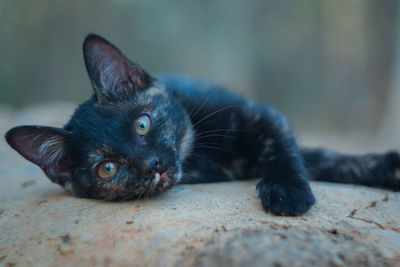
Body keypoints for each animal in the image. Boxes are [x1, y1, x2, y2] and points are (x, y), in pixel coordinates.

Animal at [5, 34, 400, 217]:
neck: (199, 151)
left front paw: (287, 190)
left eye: (143, 124)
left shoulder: (260, 116)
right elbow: (315, 159)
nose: (152, 164)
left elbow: (296, 154)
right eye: (107, 168)